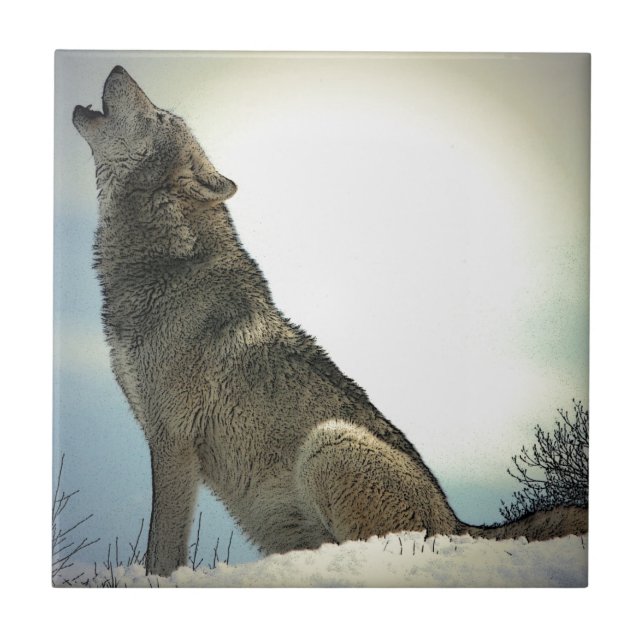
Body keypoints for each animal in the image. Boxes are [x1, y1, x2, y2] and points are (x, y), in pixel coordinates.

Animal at [73, 66, 587, 576]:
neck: (166, 265)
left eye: (159, 116)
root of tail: (459, 523)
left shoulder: (174, 441)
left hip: (328, 443)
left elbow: (161, 549)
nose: (117, 67)